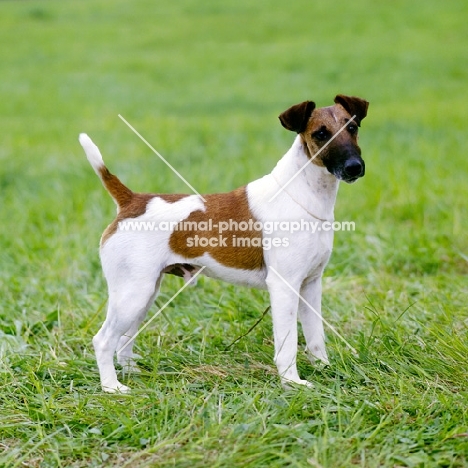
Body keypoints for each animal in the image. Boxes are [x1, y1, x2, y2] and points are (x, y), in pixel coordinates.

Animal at [77, 94, 370, 392]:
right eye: (320, 134)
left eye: (353, 127)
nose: (354, 167)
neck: (303, 193)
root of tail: (132, 201)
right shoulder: (284, 286)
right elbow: (287, 344)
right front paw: (292, 383)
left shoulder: (310, 285)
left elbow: (315, 337)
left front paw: (325, 369)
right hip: (133, 294)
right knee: (104, 340)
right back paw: (112, 387)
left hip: (144, 294)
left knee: (124, 340)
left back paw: (133, 374)